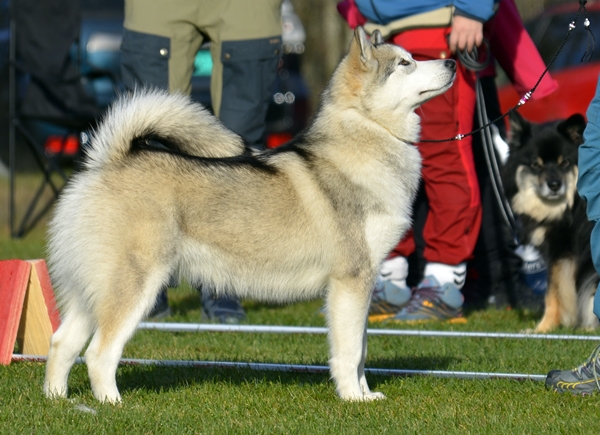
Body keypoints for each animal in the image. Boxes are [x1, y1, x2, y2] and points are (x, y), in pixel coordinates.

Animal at [44, 26, 454, 402]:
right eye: (405, 63)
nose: (451, 62)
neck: (366, 139)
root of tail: (108, 162)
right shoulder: (352, 280)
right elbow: (351, 352)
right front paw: (354, 399)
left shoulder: (363, 283)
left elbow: (363, 349)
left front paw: (366, 394)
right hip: (134, 286)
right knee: (99, 353)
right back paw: (113, 404)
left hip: (90, 292)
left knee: (62, 343)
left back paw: (58, 401)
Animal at [504, 110, 596, 332]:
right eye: (536, 165)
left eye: (564, 163)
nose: (554, 185)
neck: (574, 204)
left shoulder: (562, 253)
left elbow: (554, 294)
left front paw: (543, 329)